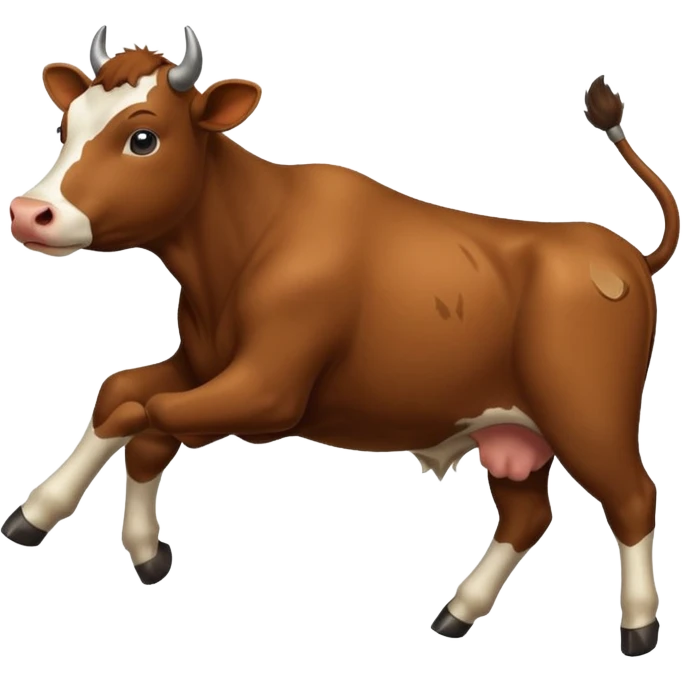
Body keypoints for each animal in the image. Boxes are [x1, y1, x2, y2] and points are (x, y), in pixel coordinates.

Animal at [4, 25, 677, 657]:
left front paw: (56, 517)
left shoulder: (267, 394)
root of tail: (621, 251)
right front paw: (98, 532)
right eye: (65, 125)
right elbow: (120, 397)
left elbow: (147, 415)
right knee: (527, 514)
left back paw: (638, 628)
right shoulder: (201, 366)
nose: (29, 213)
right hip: (512, 430)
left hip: (588, 415)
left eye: (142, 138)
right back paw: (458, 611)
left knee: (633, 499)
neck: (247, 240)